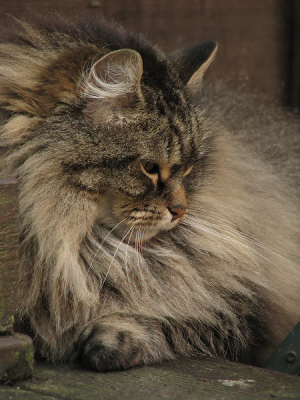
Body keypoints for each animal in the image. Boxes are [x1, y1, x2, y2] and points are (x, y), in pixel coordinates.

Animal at [0, 15, 300, 372]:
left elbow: (178, 319)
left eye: (189, 169)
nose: (181, 210)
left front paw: (111, 338)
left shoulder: (243, 315)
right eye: (150, 167)